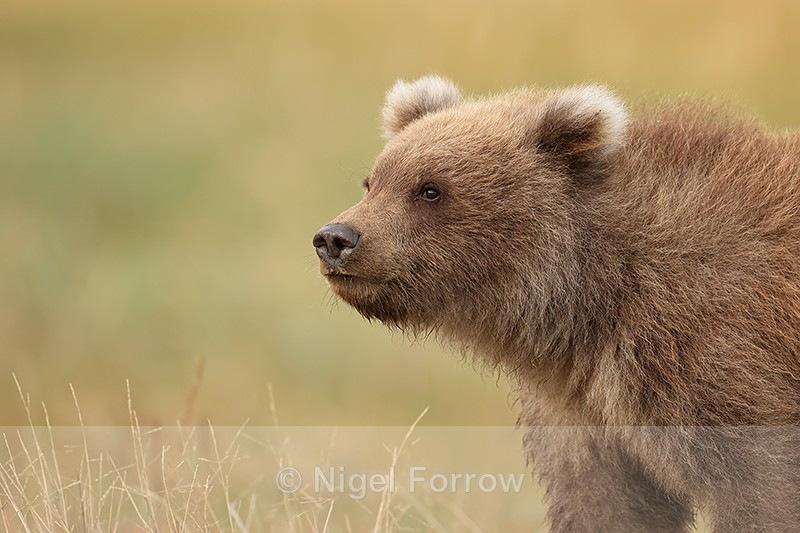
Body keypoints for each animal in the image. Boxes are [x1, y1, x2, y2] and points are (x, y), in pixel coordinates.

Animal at [312, 76, 800, 532]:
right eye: (372, 181)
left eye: (430, 189)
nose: (336, 237)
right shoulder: (583, 416)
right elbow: (608, 507)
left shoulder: (722, 363)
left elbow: (762, 495)